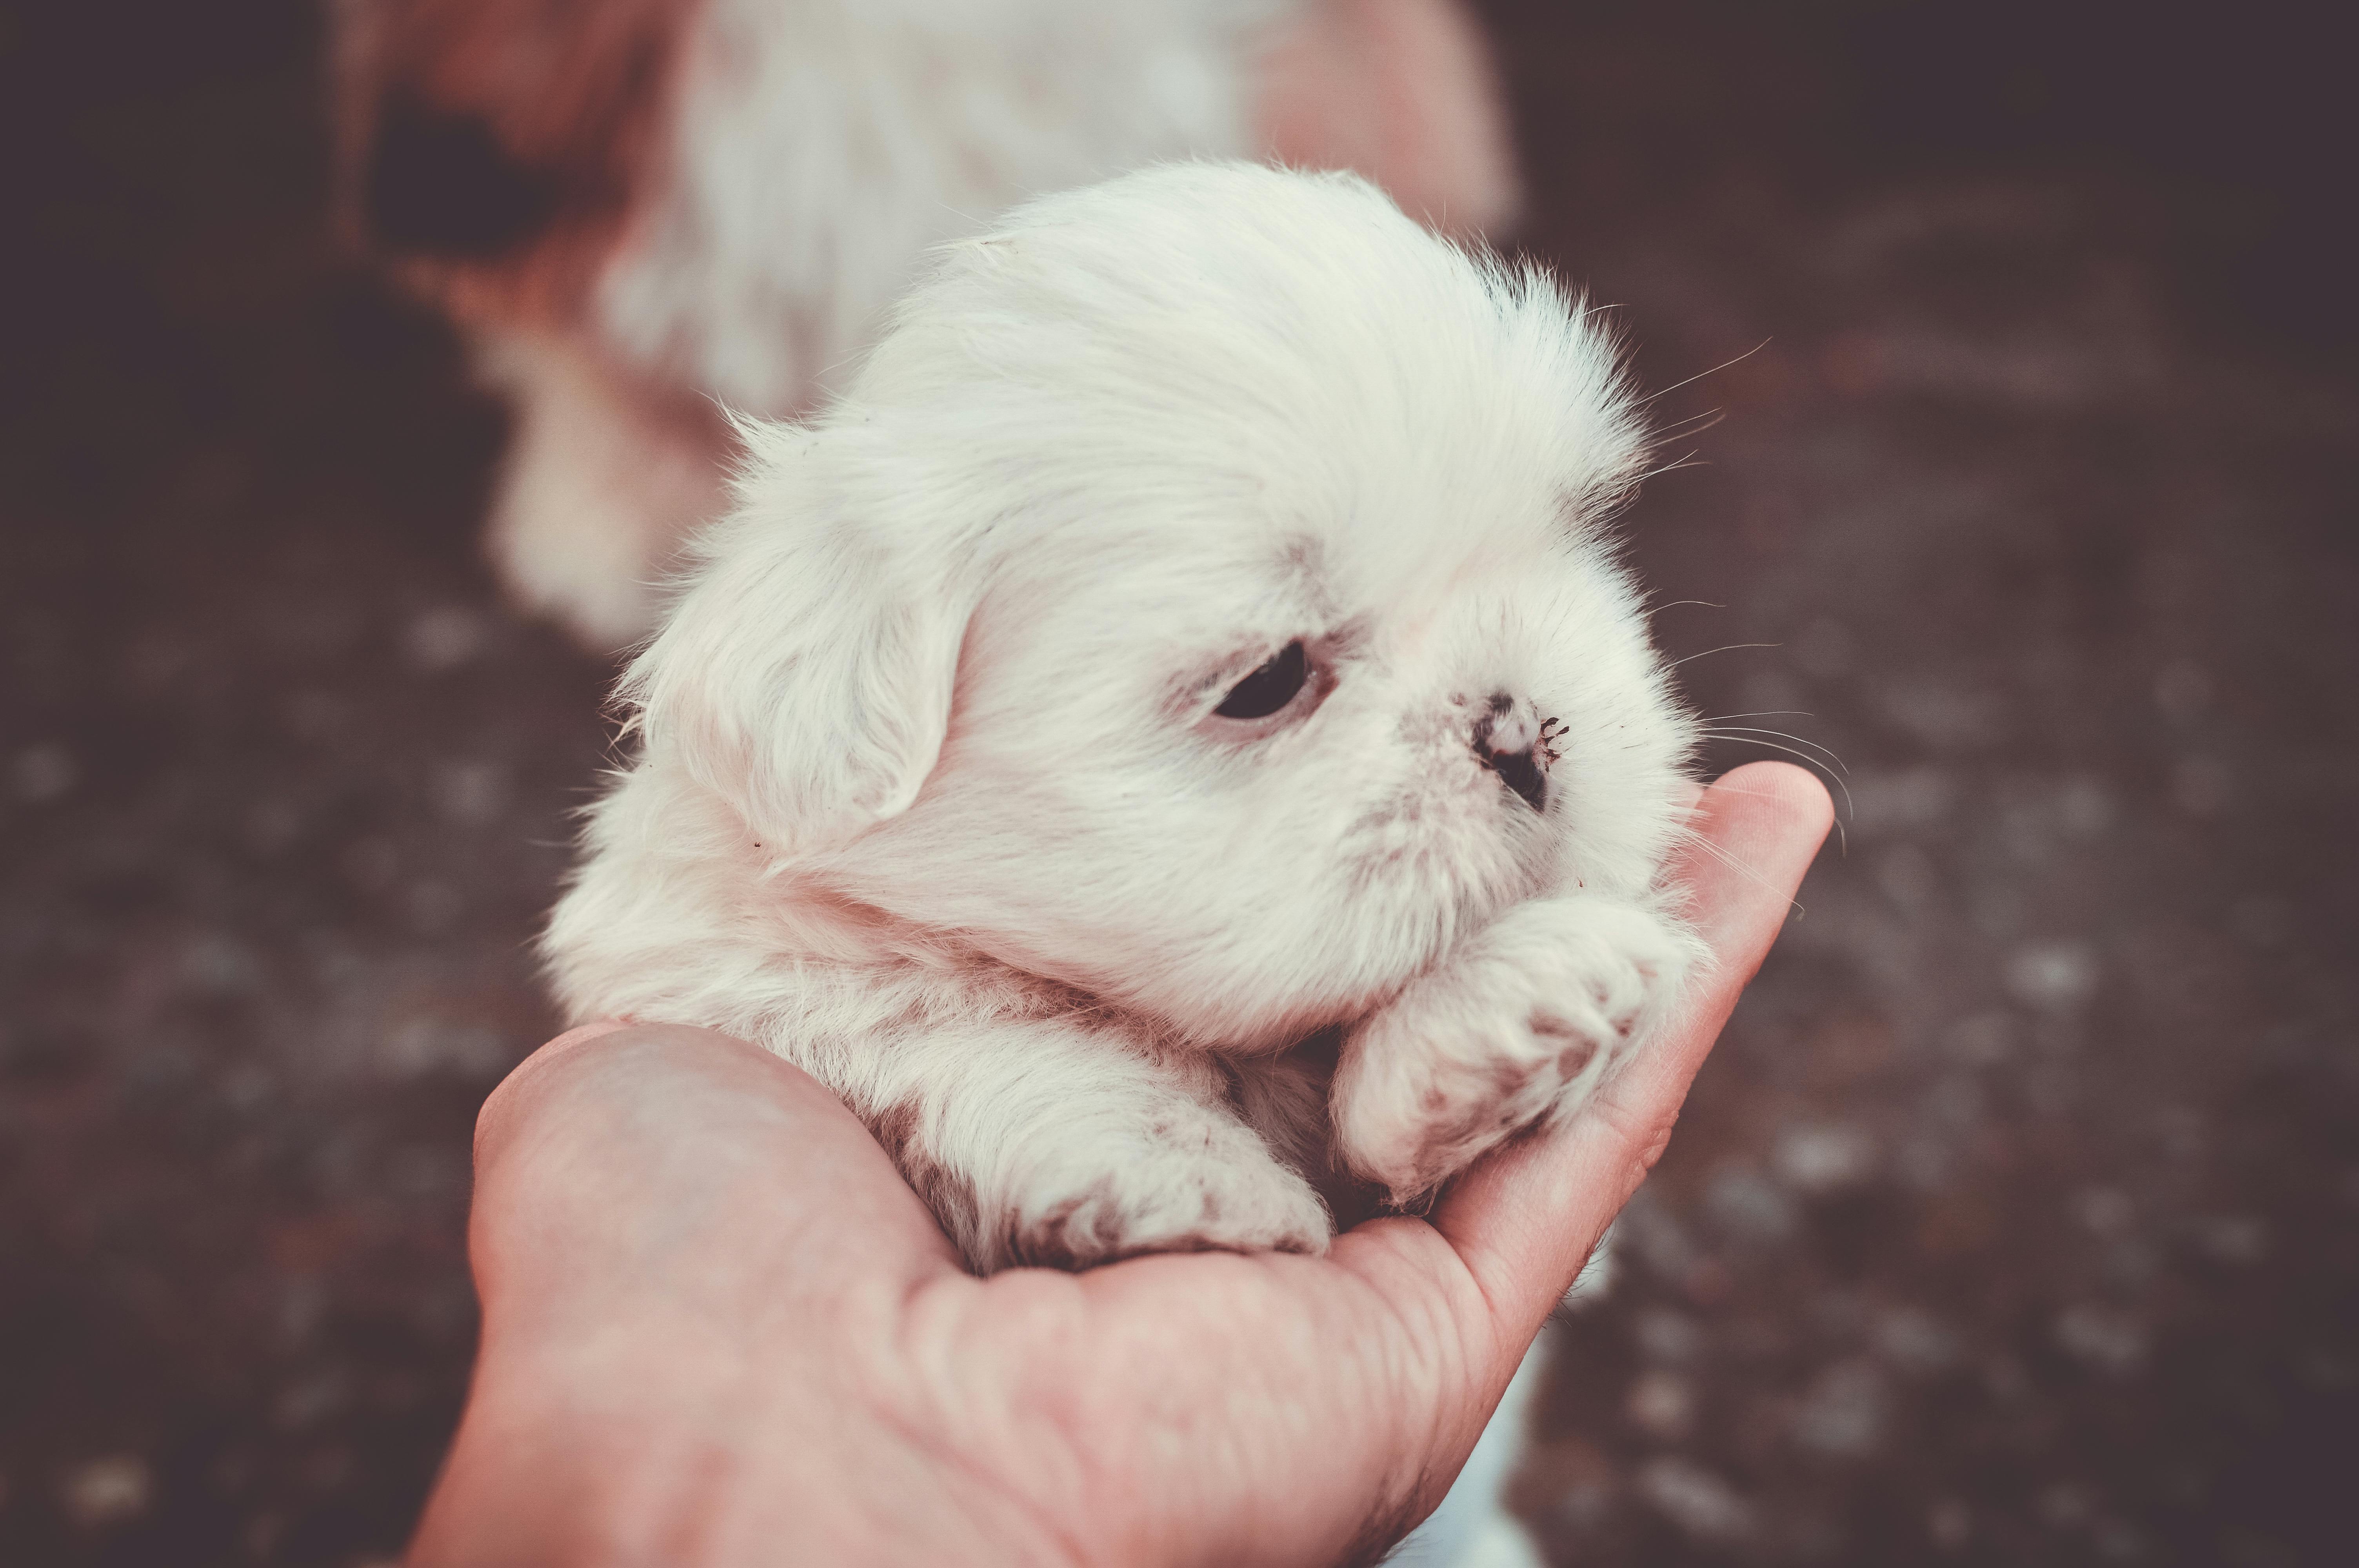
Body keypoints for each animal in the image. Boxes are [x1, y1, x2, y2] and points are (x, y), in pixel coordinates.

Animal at [545, 165, 1708, 1556]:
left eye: (1573, 533)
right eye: (1264, 681)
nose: (1523, 728)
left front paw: (1509, 1005)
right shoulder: (718, 972)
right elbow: (953, 1028)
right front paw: (1167, 1165)